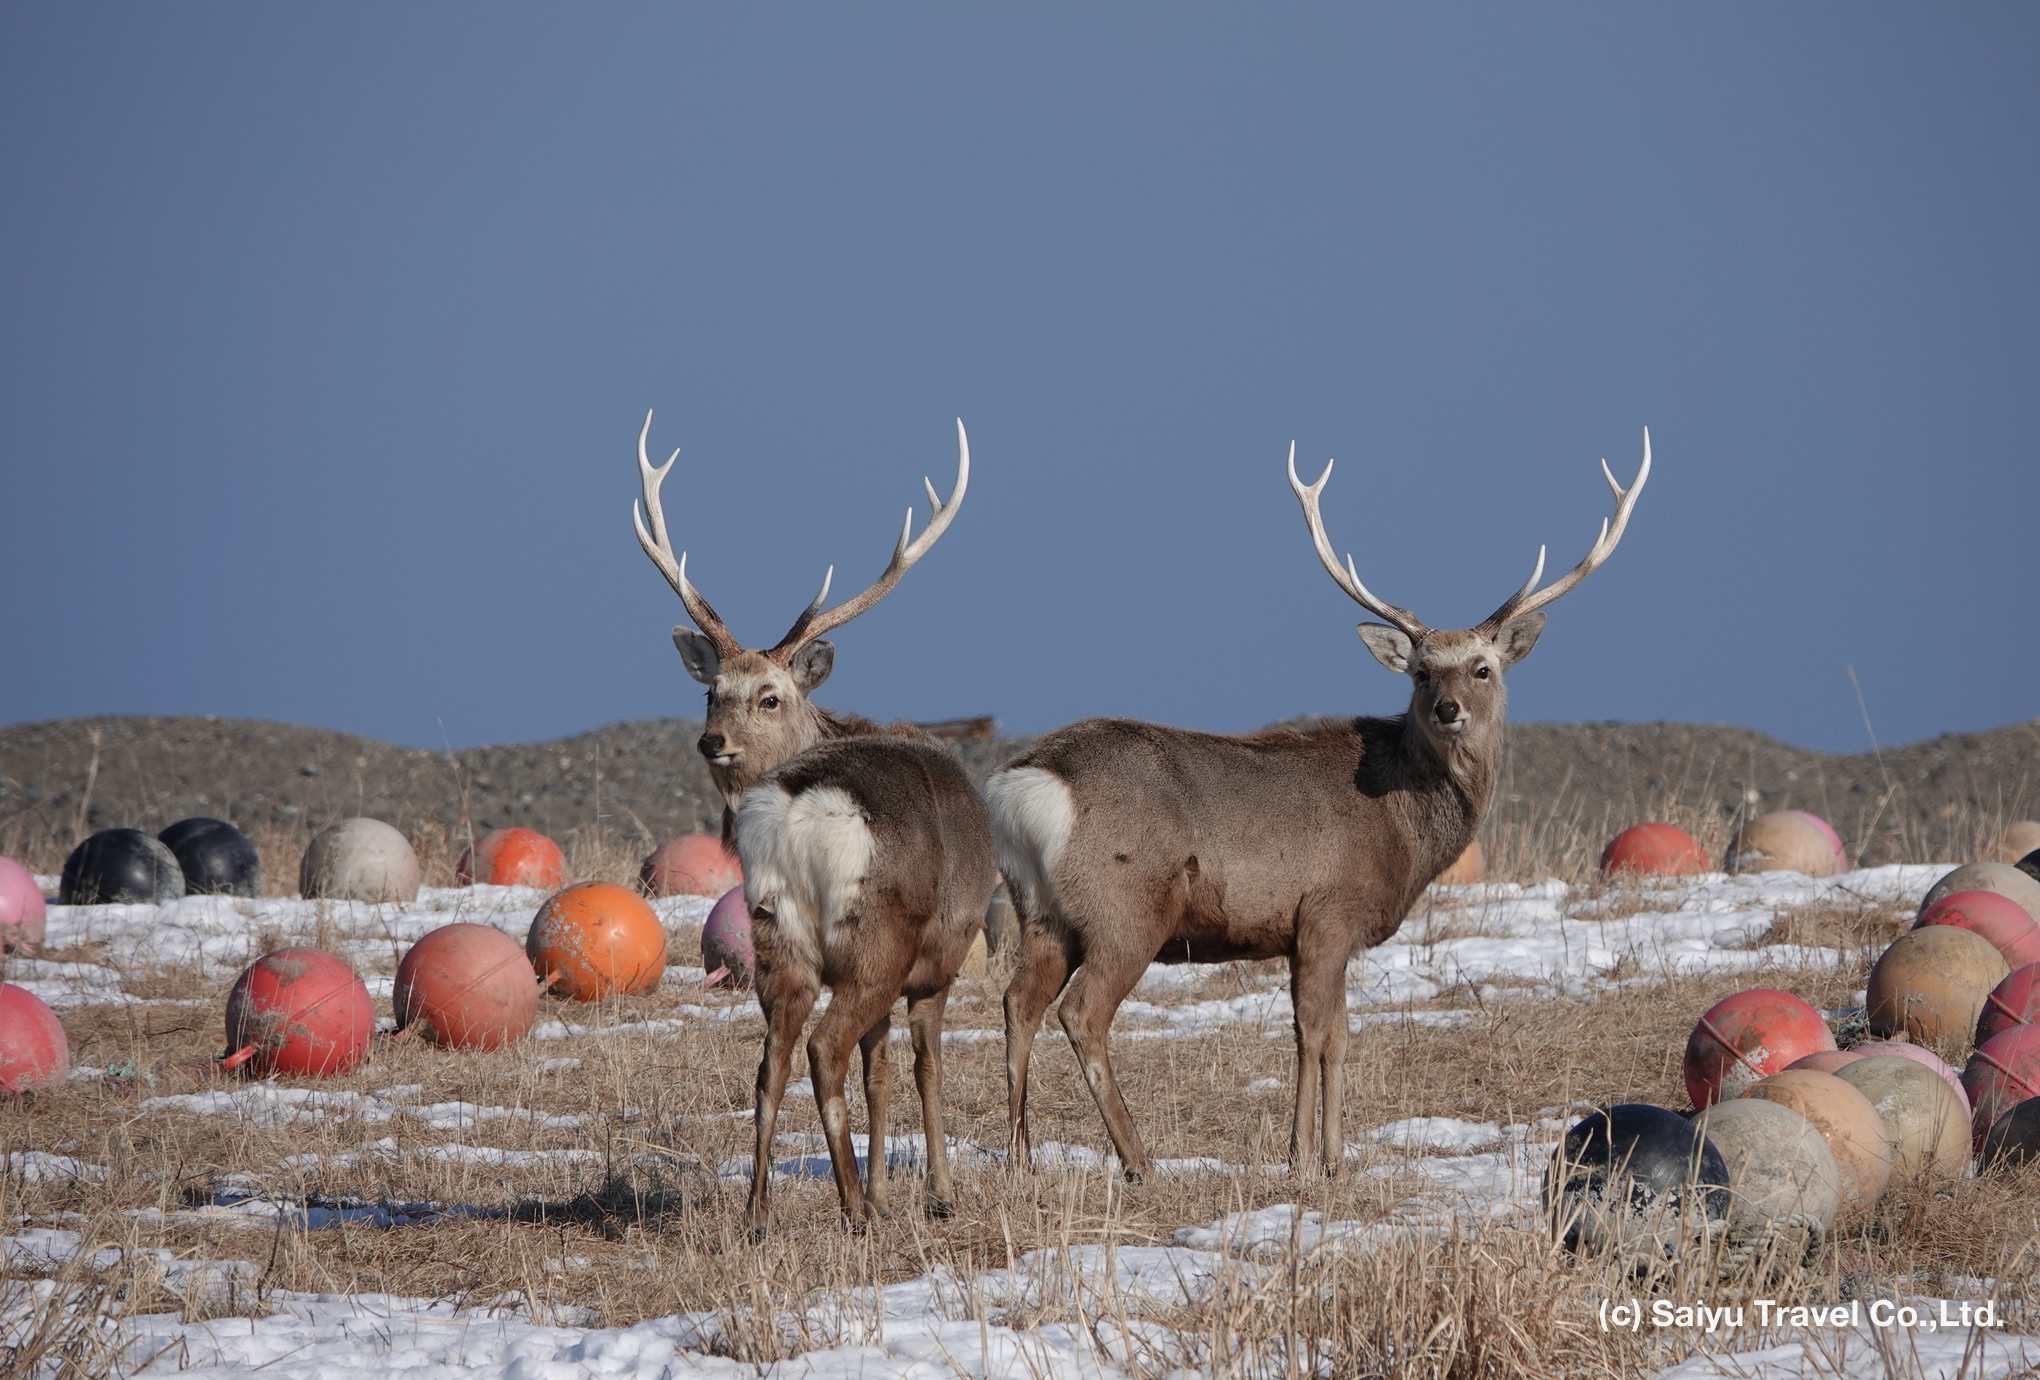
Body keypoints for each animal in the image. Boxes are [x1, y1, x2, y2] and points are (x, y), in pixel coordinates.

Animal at [631, 411, 997, 1231]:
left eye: (767, 695)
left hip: (776, 935)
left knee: (770, 1061)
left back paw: (760, 1214)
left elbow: (879, 1069)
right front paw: (937, 1195)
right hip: (875, 936)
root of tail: (797, 811)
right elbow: (922, 1065)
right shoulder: (942, 954)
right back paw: (856, 1210)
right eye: (712, 692)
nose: (712, 741)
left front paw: (891, 1187)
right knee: (824, 1049)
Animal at [988, 430, 1651, 1181]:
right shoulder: (1327, 913)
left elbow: (1339, 1034)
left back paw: (1021, 1157)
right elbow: (1313, 1032)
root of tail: (1027, 786)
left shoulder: (1324, 933)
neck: (1403, 831)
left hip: (1043, 912)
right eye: (1421, 672)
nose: (1449, 708)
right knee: (1081, 1013)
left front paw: (1334, 1155)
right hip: (1126, 905)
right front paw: (1304, 1158)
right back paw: (1138, 1160)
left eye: (1483, 668)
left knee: (1018, 1002)